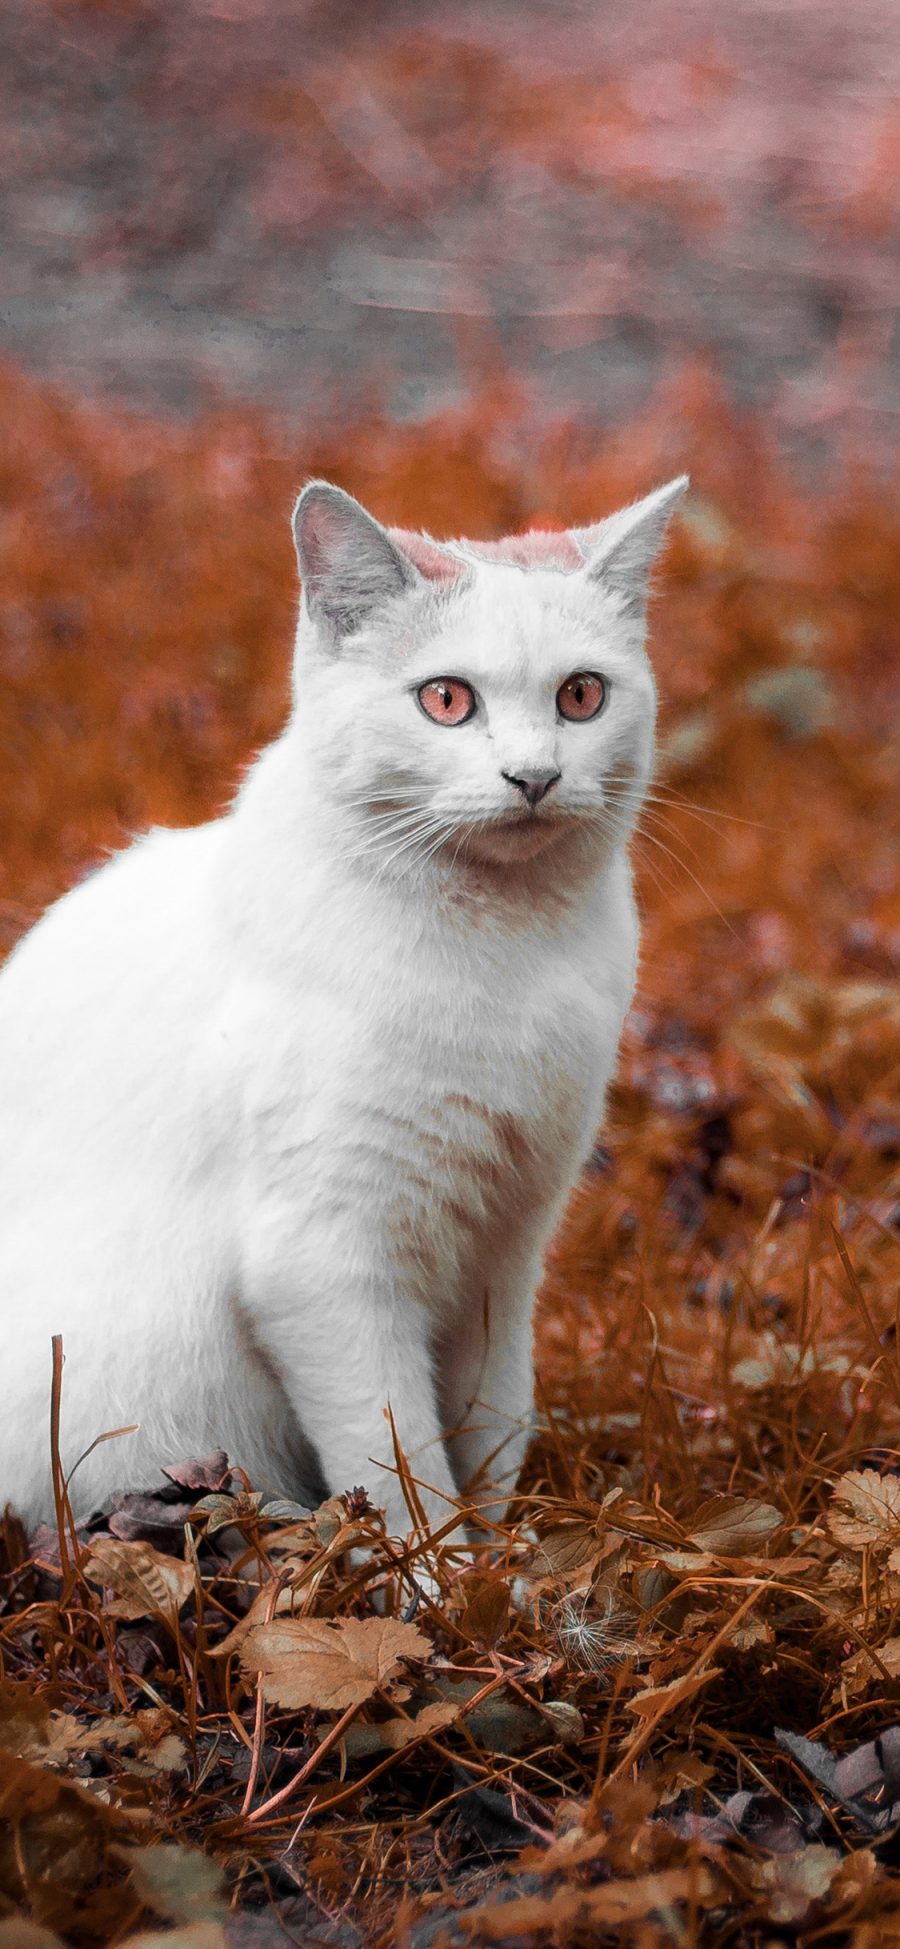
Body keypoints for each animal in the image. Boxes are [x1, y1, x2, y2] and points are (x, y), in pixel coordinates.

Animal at [0, 471, 681, 1535]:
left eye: (582, 695)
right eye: (446, 699)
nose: (535, 776)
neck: (504, 950)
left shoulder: (508, 1249)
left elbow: (495, 1419)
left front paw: (510, 1550)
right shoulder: (322, 1263)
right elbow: (397, 1457)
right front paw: (438, 1572)